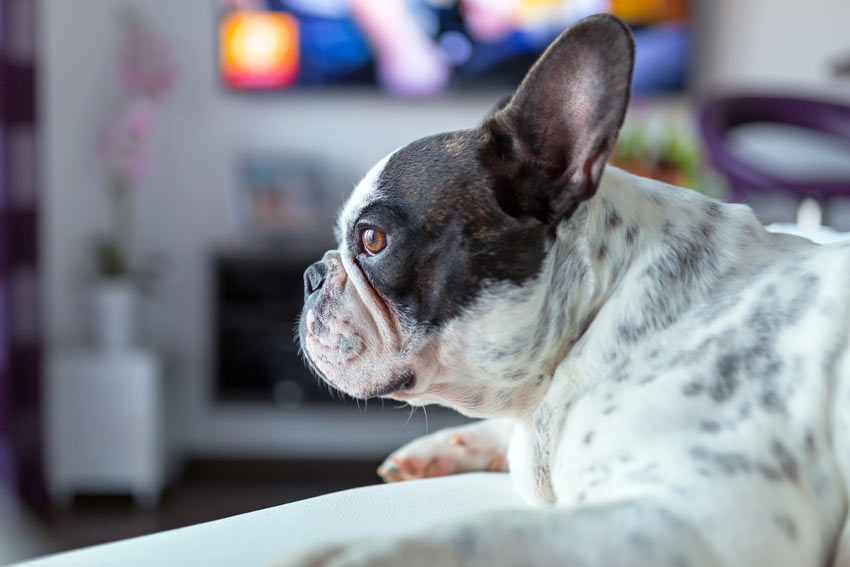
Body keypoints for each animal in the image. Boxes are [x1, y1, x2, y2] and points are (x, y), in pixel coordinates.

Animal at [294, 14, 844, 567]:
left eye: (373, 240)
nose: (311, 275)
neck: (598, 317)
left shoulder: (704, 520)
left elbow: (484, 533)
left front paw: (351, 554)